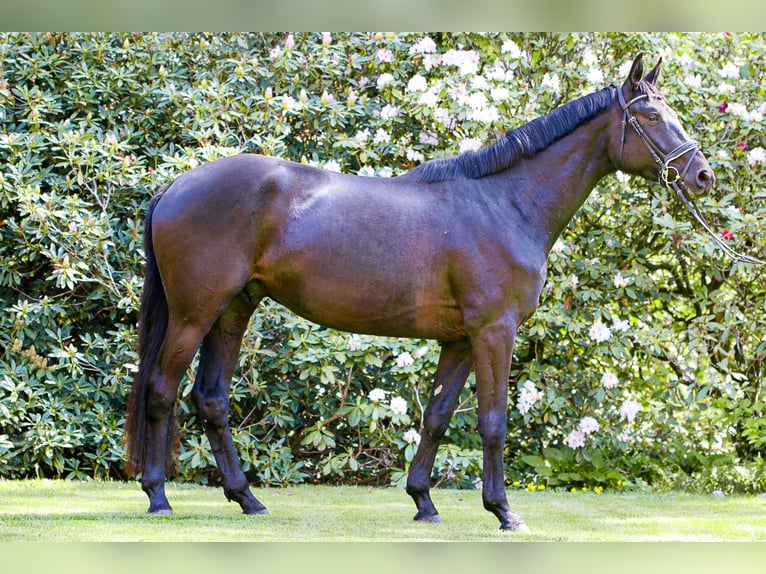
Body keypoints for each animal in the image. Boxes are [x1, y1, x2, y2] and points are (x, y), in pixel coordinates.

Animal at [125, 54, 714, 531]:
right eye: (652, 116)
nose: (702, 176)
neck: (506, 204)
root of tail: (176, 185)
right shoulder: (494, 332)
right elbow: (493, 422)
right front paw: (504, 511)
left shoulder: (460, 340)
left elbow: (436, 417)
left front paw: (424, 502)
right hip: (194, 313)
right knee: (161, 389)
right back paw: (158, 497)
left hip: (233, 310)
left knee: (211, 399)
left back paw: (247, 499)